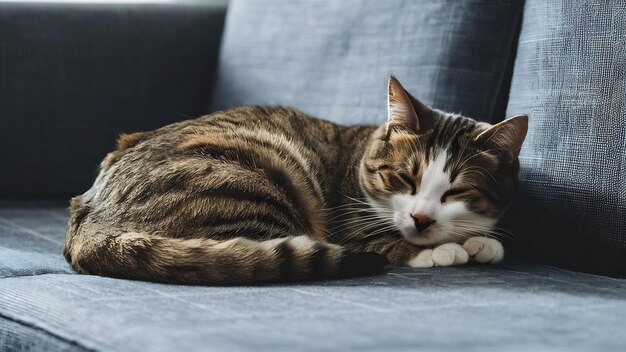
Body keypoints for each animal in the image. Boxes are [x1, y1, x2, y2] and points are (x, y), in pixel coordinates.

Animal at [63, 76, 524, 284]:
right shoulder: (348, 223)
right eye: (402, 178)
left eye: (457, 191)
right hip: (254, 180)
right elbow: (381, 239)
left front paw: (479, 242)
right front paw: (439, 250)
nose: (422, 219)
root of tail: (90, 219)